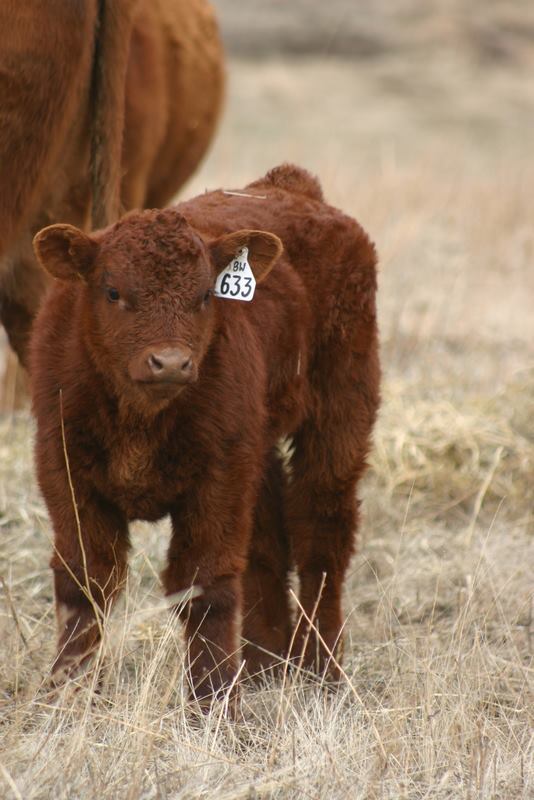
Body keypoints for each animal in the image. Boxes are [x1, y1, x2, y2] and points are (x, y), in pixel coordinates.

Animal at [30, 164, 380, 706]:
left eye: (204, 295)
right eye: (112, 292)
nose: (171, 362)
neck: (139, 421)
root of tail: (291, 186)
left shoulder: (218, 479)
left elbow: (205, 585)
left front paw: (214, 701)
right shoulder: (65, 472)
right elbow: (84, 581)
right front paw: (67, 691)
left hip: (339, 415)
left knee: (321, 536)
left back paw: (320, 670)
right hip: (259, 445)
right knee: (268, 542)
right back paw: (263, 665)